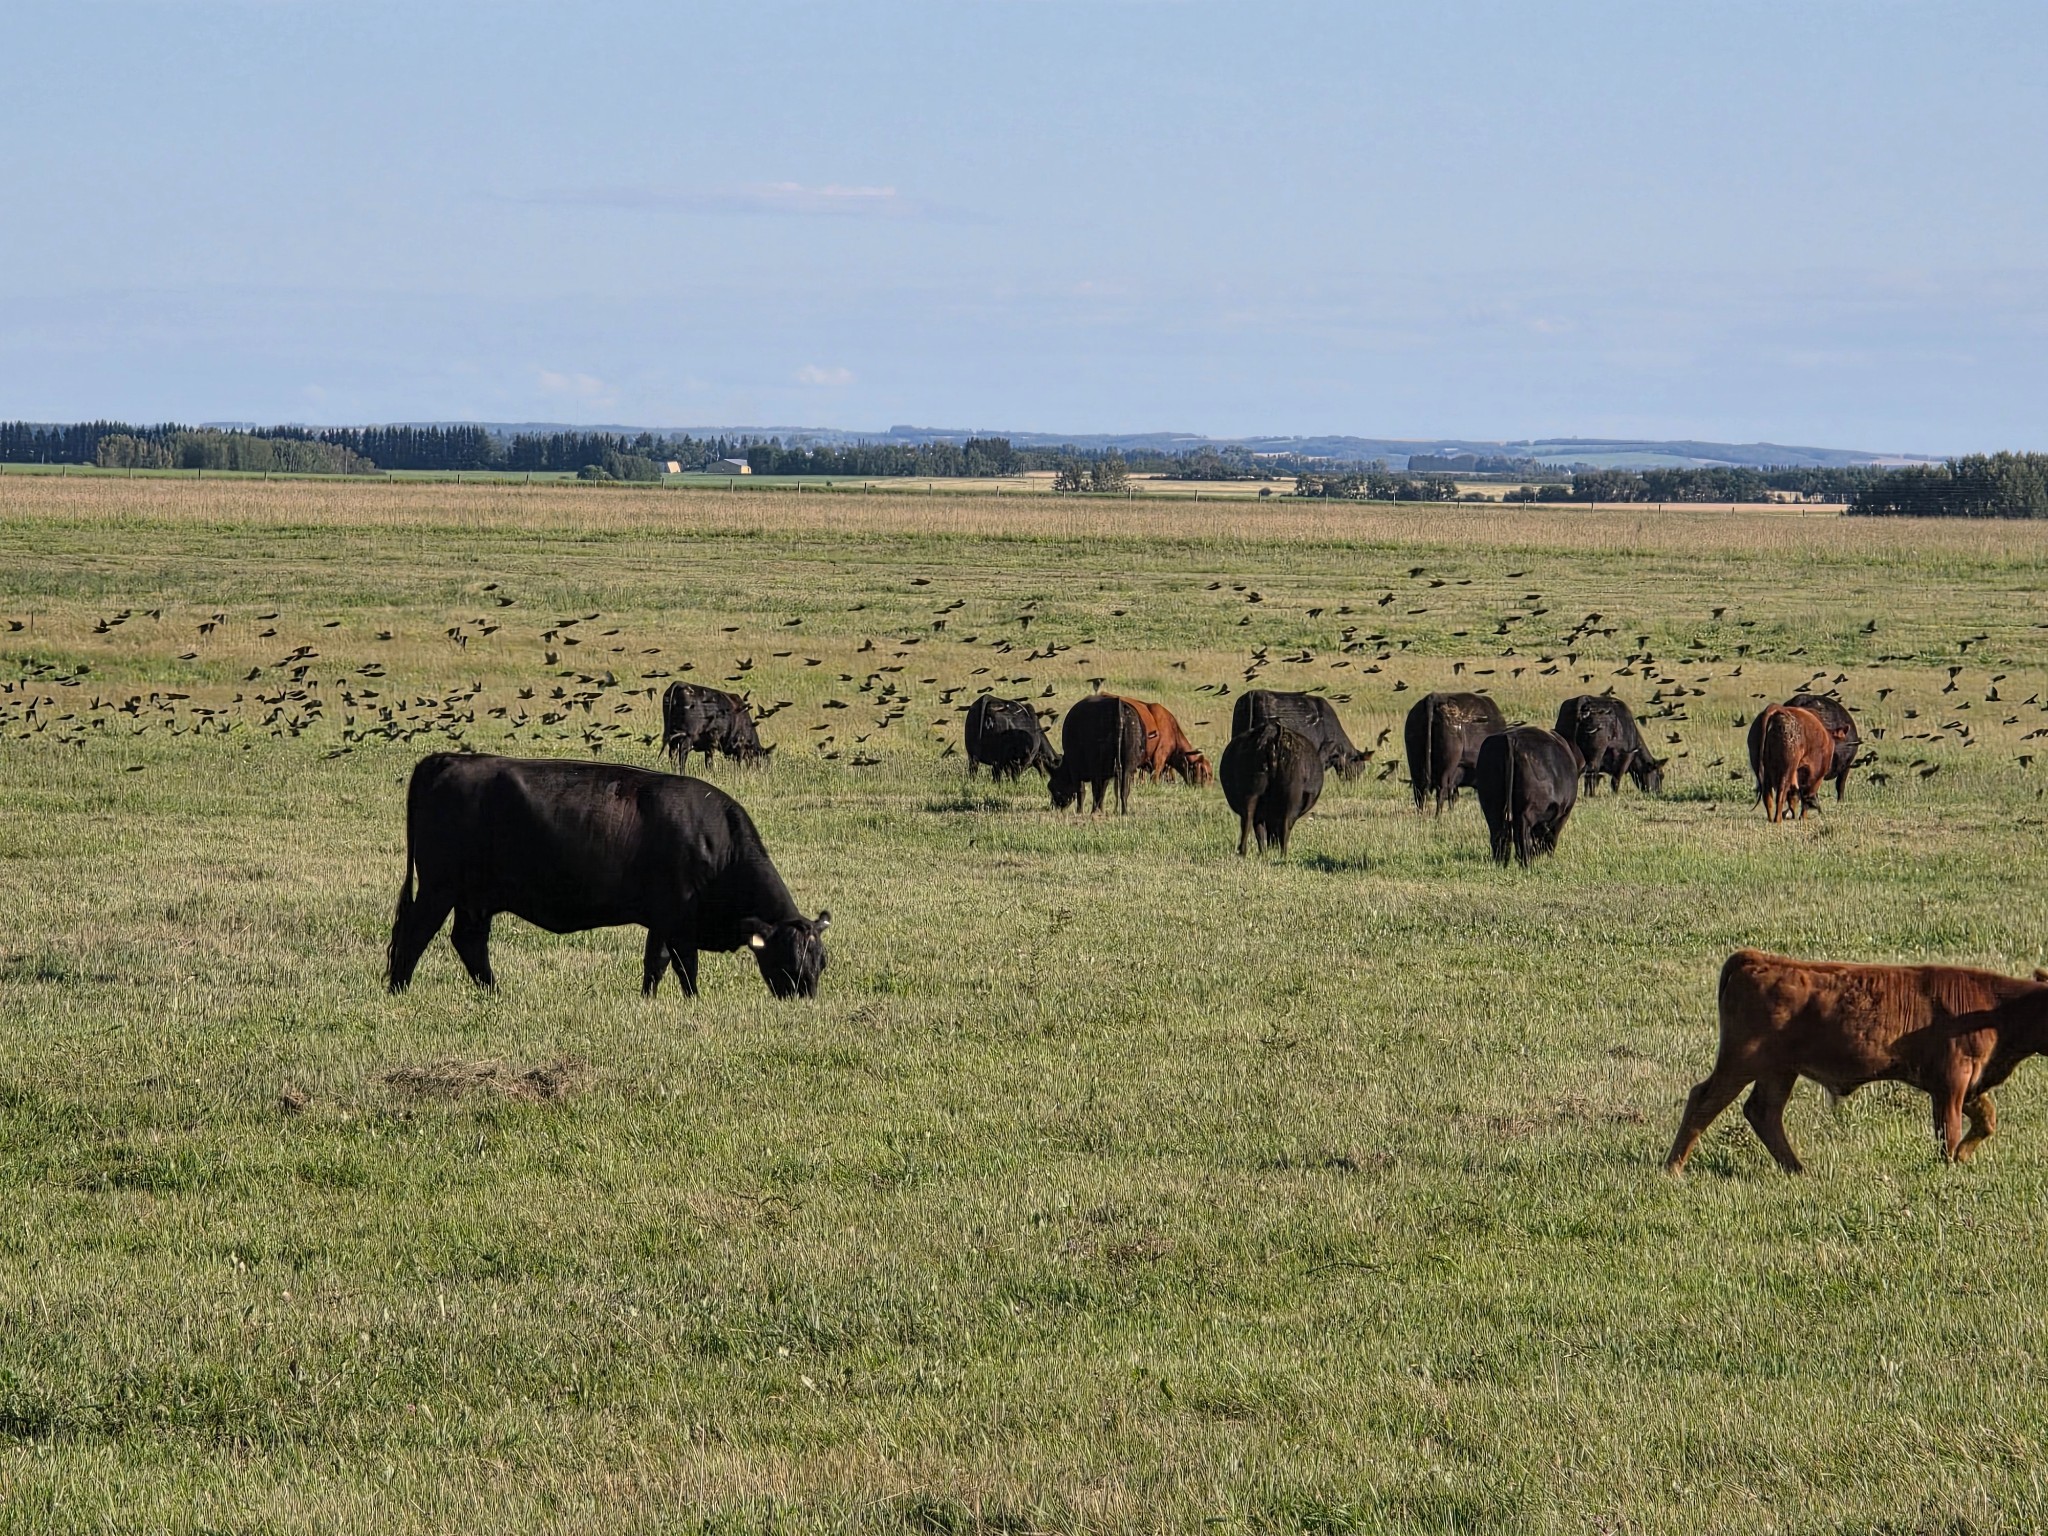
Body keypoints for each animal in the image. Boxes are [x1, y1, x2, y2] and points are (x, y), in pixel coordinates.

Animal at [386, 753, 829, 999]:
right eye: (789, 962)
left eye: (821, 963)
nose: (805, 998)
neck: (716, 842)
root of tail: (449, 758)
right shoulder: (679, 920)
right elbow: (685, 967)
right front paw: (694, 1001)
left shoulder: (661, 920)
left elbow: (656, 963)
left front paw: (648, 1000)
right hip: (439, 888)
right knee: (414, 934)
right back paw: (398, 990)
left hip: (474, 898)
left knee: (469, 942)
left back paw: (494, 993)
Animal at [1219, 723, 1324, 856]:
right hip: (1288, 798)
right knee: (1283, 826)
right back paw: (1281, 854)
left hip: (1252, 795)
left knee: (1248, 821)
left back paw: (1244, 852)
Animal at [1474, 725, 1583, 866]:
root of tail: (1510, 738)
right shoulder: (1563, 814)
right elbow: (1552, 838)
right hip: (1528, 810)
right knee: (1523, 833)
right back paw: (1526, 863)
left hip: (1492, 806)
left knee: (1497, 833)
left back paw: (1500, 862)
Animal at [1666, 950, 2048, 1173]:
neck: (1997, 1009)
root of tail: (1760, 958)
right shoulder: (1952, 1081)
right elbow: (1949, 1131)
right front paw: (1950, 1166)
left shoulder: (1969, 1084)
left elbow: (1987, 1120)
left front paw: (1963, 1158)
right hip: (1741, 1061)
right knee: (1704, 1101)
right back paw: (1673, 1167)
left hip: (1778, 1070)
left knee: (1763, 1112)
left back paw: (1798, 1169)